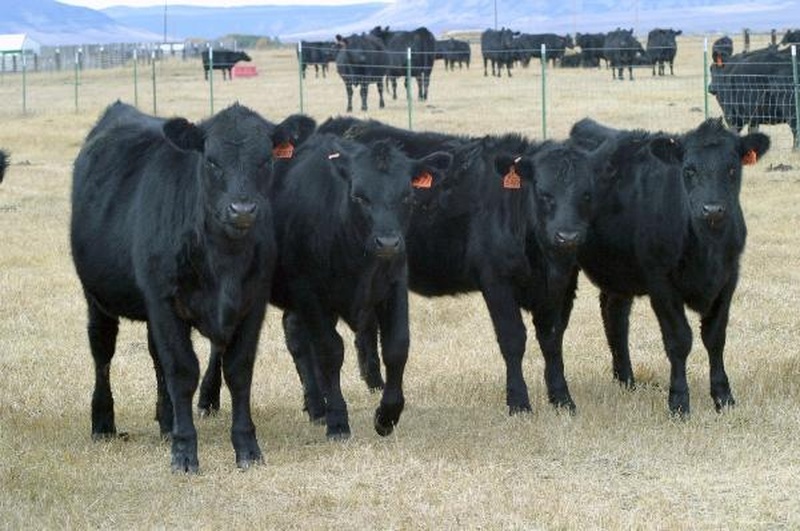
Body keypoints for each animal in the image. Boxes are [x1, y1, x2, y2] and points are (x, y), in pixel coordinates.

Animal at [70, 100, 314, 473]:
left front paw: (247, 447)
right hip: (97, 297)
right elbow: (183, 371)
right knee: (102, 351)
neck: (223, 261)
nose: (242, 209)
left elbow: (238, 371)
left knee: (156, 356)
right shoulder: (164, 301)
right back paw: (103, 422)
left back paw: (166, 420)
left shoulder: (252, 304)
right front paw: (184, 451)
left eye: (265, 159)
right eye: (211, 160)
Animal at [198, 131, 453, 438]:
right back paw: (208, 399)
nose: (388, 243)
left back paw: (316, 405)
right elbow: (330, 351)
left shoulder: (394, 285)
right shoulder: (310, 292)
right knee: (223, 342)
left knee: (295, 336)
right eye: (358, 196)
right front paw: (339, 421)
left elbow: (396, 346)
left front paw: (387, 415)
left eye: (407, 196)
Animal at [309, 116, 614, 415]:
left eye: (587, 194)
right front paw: (518, 402)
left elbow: (552, 340)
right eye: (543, 192)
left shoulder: (562, 286)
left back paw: (374, 384)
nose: (567, 236)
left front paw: (562, 398)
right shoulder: (496, 280)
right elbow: (513, 339)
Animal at [569, 117, 770, 416]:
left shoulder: (729, 278)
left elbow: (715, 337)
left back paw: (626, 379)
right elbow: (679, 340)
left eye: (732, 169)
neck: (708, 249)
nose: (712, 209)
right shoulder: (660, 282)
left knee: (614, 313)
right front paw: (679, 402)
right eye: (688, 170)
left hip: (619, 271)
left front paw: (723, 397)